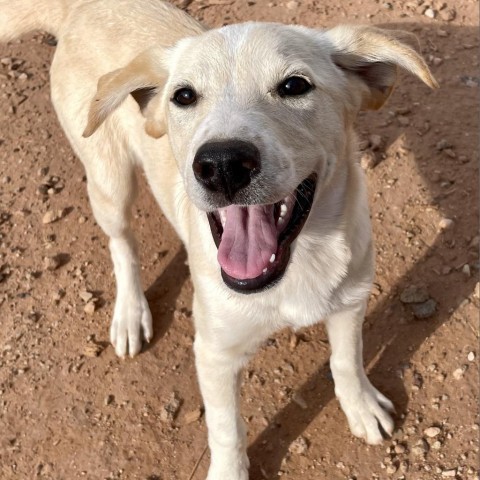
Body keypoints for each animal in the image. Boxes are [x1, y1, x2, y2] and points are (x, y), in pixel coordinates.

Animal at [0, 1, 436, 478]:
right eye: (184, 96)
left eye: (295, 85)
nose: (222, 164)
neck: (299, 262)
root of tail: (81, 8)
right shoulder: (214, 353)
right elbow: (227, 429)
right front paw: (230, 469)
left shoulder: (350, 301)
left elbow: (347, 360)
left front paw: (360, 406)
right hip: (109, 179)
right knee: (122, 245)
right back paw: (131, 313)